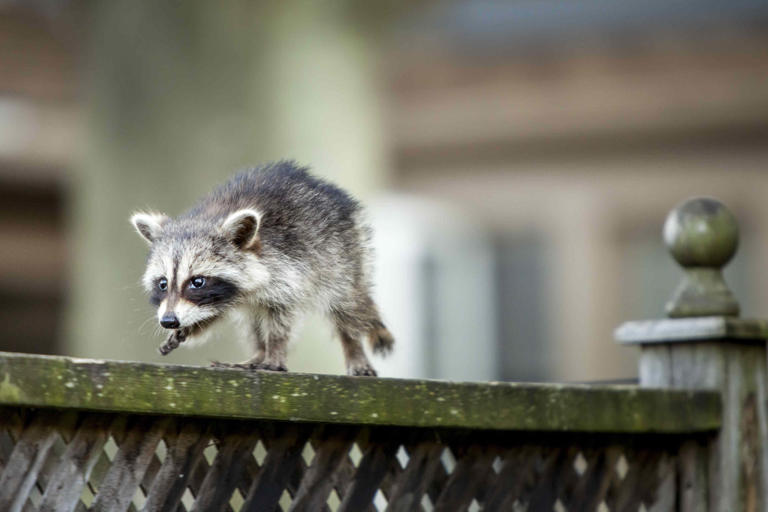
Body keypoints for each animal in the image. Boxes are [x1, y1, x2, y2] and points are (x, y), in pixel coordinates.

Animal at [130, 161, 394, 376]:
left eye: (197, 282)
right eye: (163, 283)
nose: (169, 320)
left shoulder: (288, 270)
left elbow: (281, 317)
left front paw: (275, 351)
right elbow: (214, 314)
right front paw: (191, 327)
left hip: (344, 255)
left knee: (348, 305)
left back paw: (353, 347)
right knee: (253, 321)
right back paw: (257, 353)